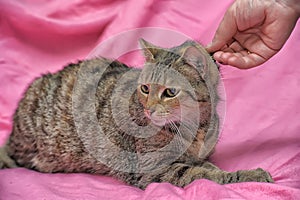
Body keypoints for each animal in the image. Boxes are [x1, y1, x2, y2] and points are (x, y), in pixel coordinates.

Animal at [0, 39, 274, 189]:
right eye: (144, 88)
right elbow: (205, 174)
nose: (148, 108)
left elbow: (207, 166)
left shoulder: (194, 157)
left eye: (170, 92)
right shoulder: (153, 169)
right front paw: (247, 176)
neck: (196, 126)